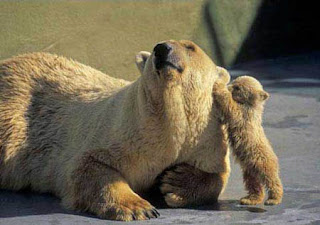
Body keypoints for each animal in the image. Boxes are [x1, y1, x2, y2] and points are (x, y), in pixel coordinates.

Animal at [0, 40, 230, 220]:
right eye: (156, 46)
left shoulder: (206, 139)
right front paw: (138, 208)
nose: (162, 48)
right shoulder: (123, 130)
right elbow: (89, 165)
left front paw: (176, 182)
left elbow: (218, 176)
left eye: (190, 47)